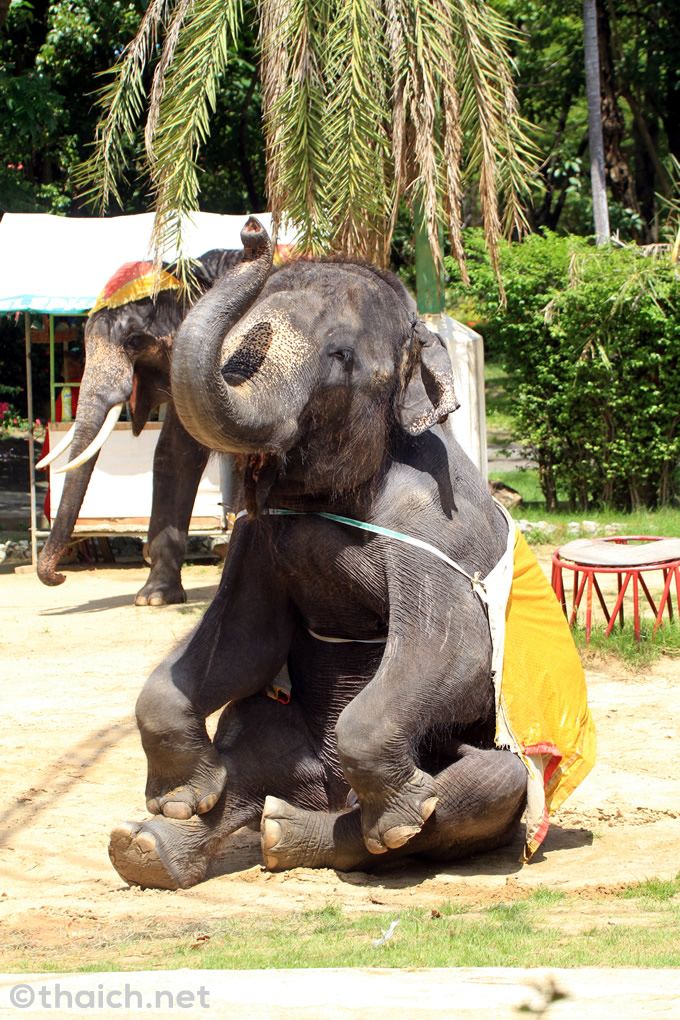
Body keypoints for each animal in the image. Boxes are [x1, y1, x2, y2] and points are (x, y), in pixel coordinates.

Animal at [109, 219, 591, 889]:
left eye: (339, 356)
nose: (254, 231)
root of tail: (325, 796)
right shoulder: (258, 538)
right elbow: (244, 642)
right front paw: (177, 799)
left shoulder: (435, 528)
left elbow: (460, 654)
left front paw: (399, 815)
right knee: (248, 745)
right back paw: (150, 845)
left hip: (492, 786)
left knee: (486, 786)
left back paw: (329, 832)